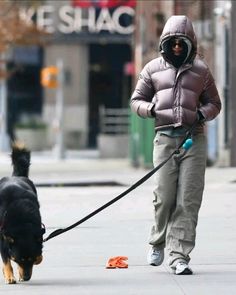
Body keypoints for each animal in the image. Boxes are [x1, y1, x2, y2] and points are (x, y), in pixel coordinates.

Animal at [0, 143, 44, 284]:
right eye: (18, 260)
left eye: (31, 259)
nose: (26, 278)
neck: (22, 222)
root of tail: (15, 176)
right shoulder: (4, 239)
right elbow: (6, 260)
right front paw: (9, 275)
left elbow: (40, 256)